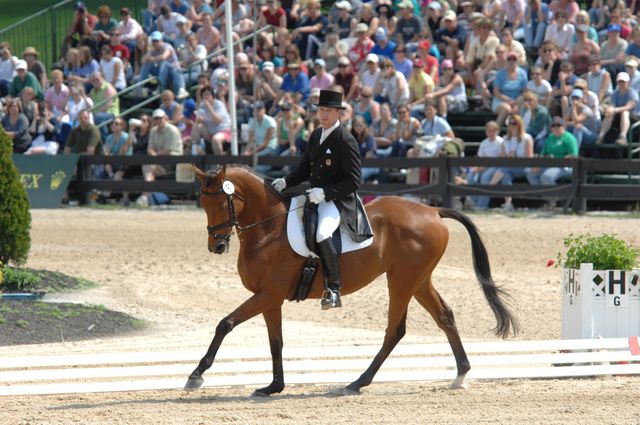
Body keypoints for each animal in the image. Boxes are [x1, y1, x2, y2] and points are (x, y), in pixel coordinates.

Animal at [185, 165, 520, 394]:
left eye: (221, 203)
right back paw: (461, 374)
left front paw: (196, 375)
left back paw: (359, 381)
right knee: (445, 317)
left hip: (401, 281)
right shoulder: (270, 299)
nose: (217, 246)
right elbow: (275, 343)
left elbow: (225, 324)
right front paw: (273, 387)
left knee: (395, 330)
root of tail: (433, 211)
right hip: (419, 280)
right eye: (202, 203)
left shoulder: (268, 295)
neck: (269, 229)